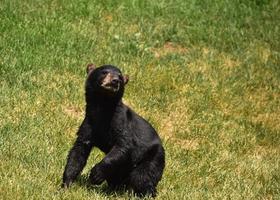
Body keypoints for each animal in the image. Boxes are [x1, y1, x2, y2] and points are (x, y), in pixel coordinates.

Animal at [62, 64, 165, 197]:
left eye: (120, 76)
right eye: (104, 72)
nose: (115, 81)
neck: (103, 107)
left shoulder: (120, 121)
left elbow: (123, 146)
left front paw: (95, 175)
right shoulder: (89, 123)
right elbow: (78, 151)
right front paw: (66, 185)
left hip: (153, 156)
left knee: (142, 176)